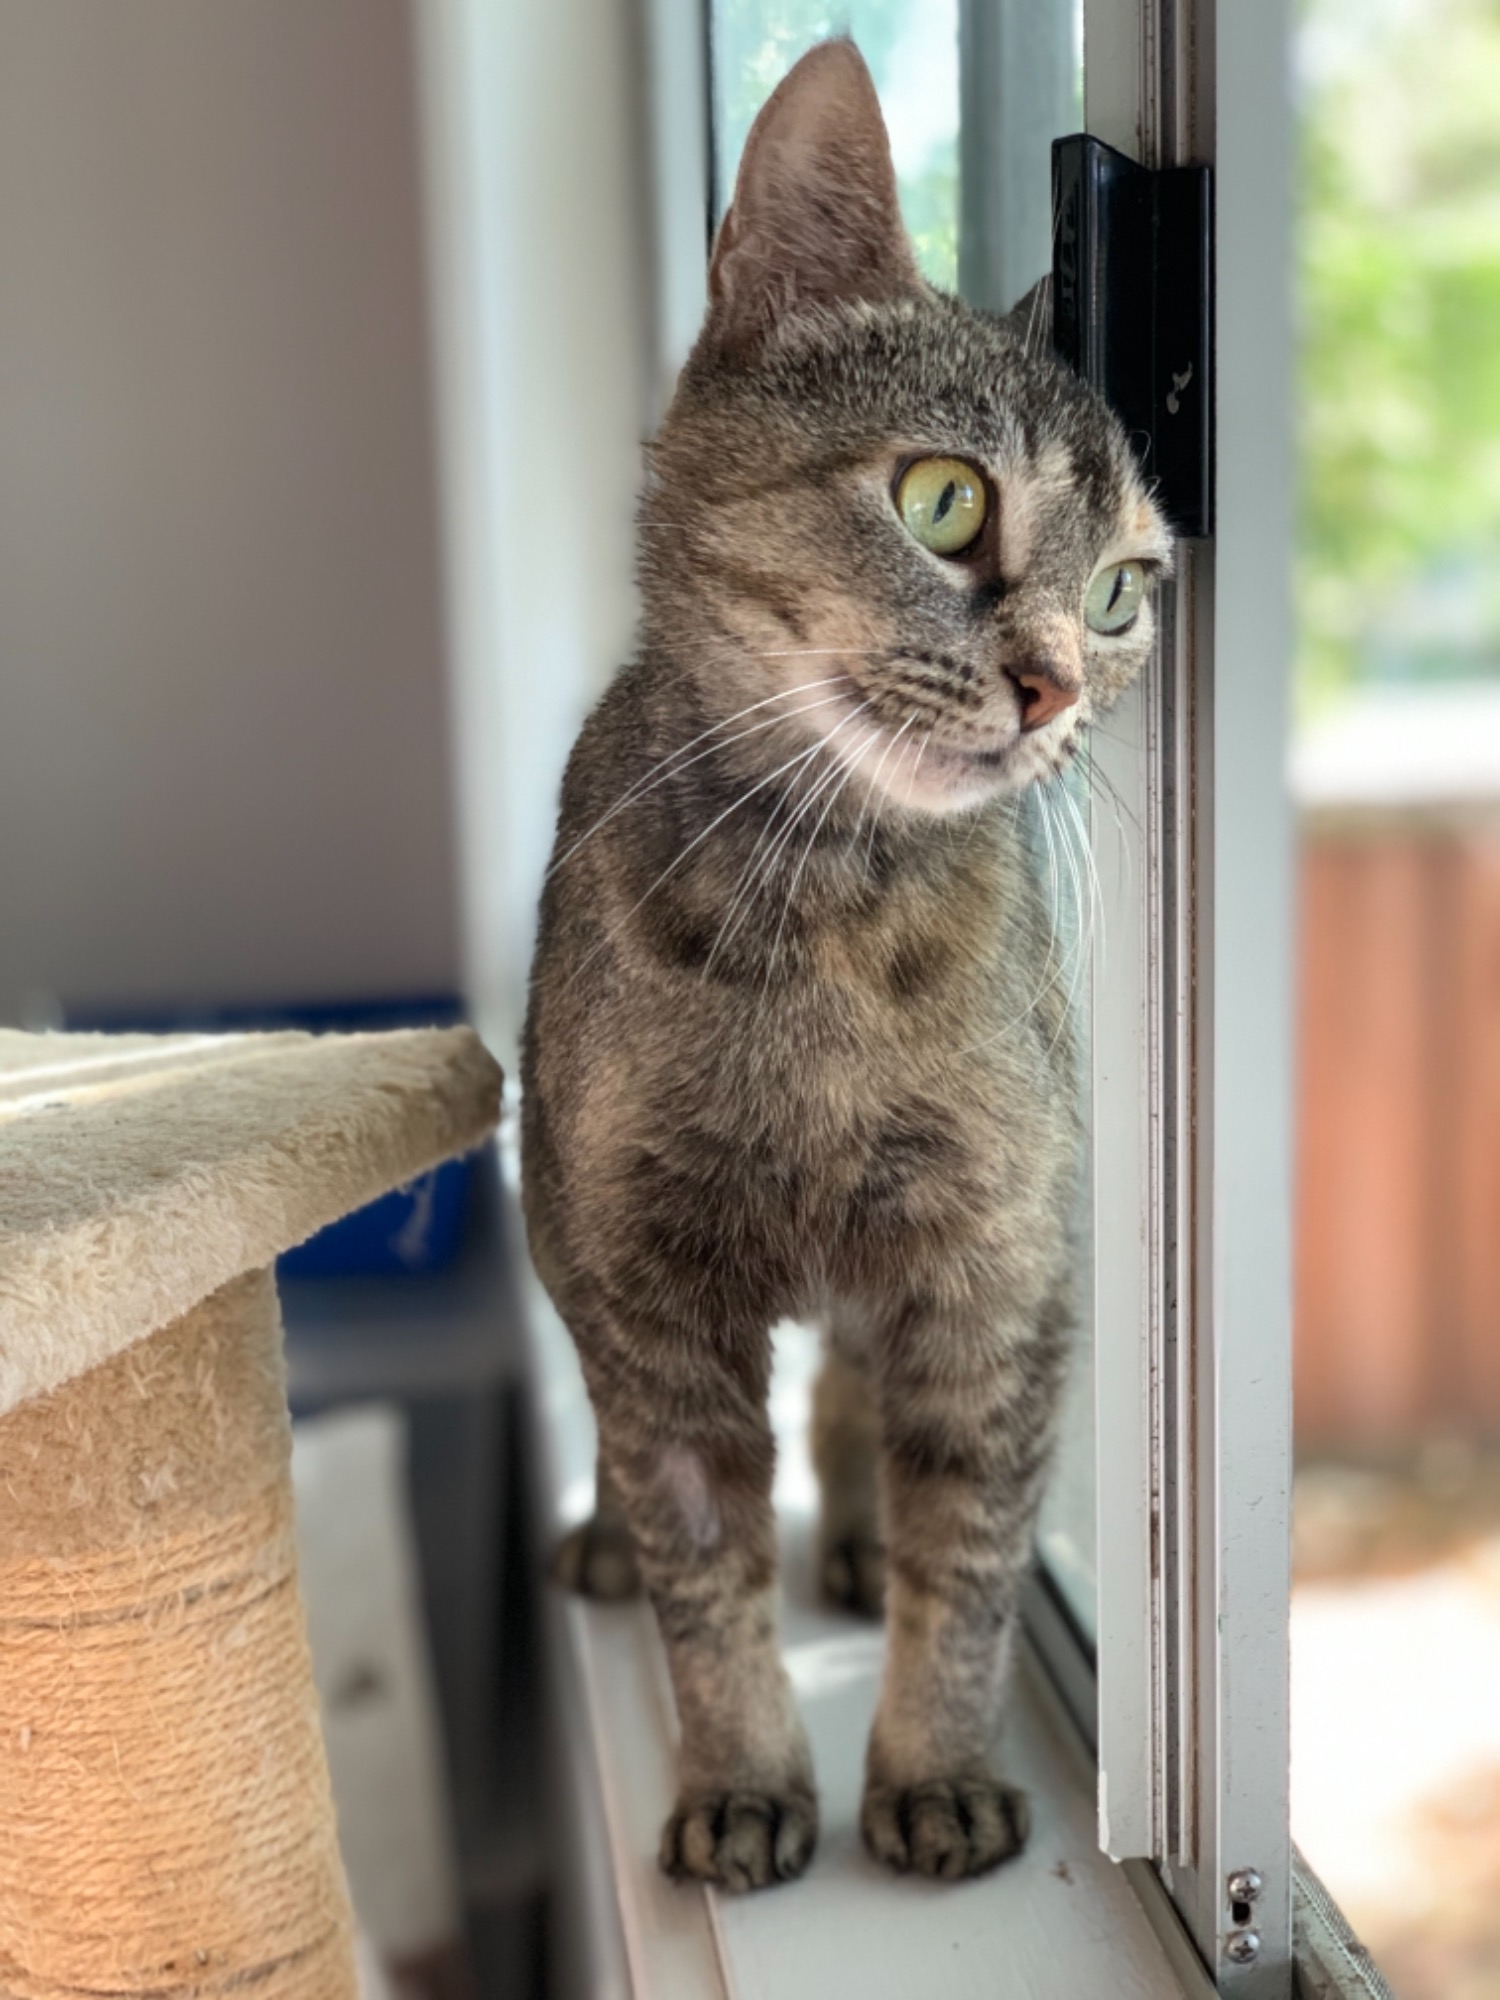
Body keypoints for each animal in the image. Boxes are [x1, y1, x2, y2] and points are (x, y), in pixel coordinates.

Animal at [521, 38, 1170, 1892]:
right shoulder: (637, 1289)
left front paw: (933, 1766)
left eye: (1123, 591)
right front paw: (742, 1777)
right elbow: (702, 1568)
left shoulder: (1003, 1266)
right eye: (943, 499)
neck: (821, 932)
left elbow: (975, 1558)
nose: (1054, 682)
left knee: (857, 1397)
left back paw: (864, 1532)